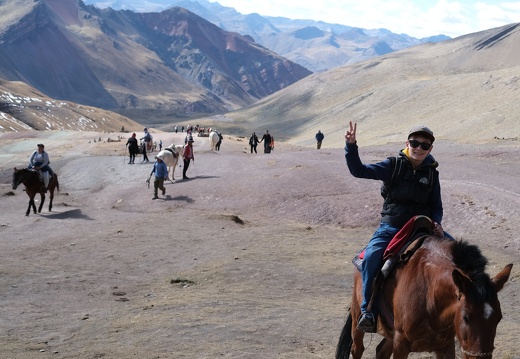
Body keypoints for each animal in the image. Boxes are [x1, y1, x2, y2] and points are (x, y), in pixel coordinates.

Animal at [338, 238, 512, 358]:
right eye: (466, 318)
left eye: (499, 318)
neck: (430, 295)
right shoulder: (401, 344)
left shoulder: (446, 347)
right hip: (357, 318)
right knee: (357, 349)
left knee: (381, 351)